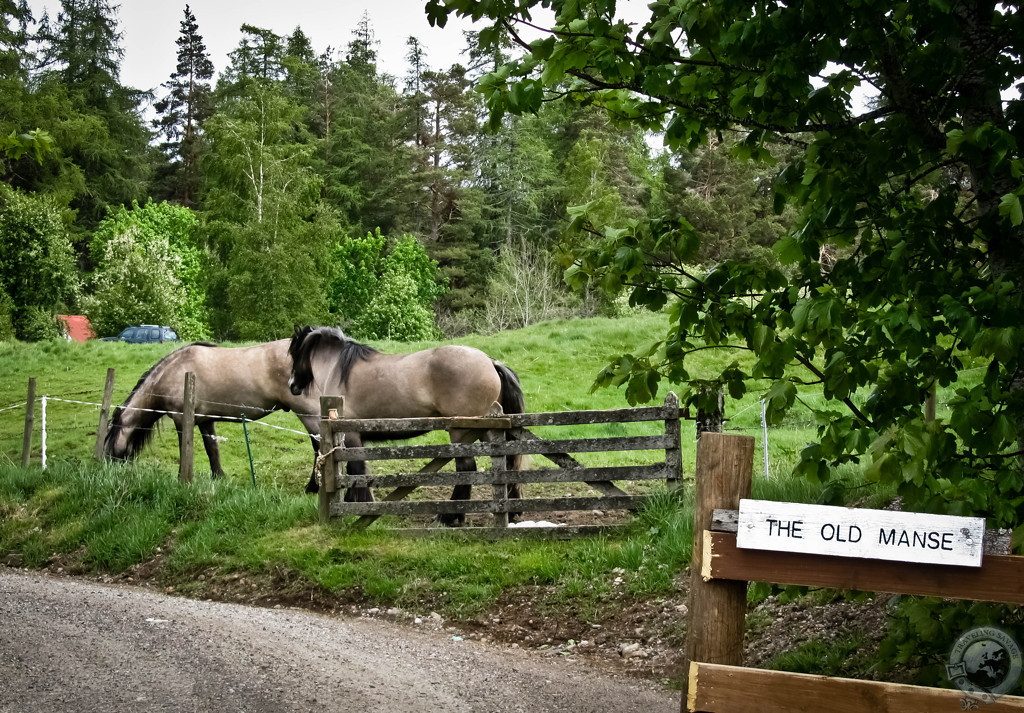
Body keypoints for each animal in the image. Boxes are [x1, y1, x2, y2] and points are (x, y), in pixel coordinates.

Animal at [288, 323, 528, 524]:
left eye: (293, 354)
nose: (292, 386)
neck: (339, 371)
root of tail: (490, 362)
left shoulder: (352, 436)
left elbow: (356, 469)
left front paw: (363, 506)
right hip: (487, 429)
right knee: (507, 463)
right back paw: (512, 511)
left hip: (462, 431)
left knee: (466, 468)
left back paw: (450, 517)